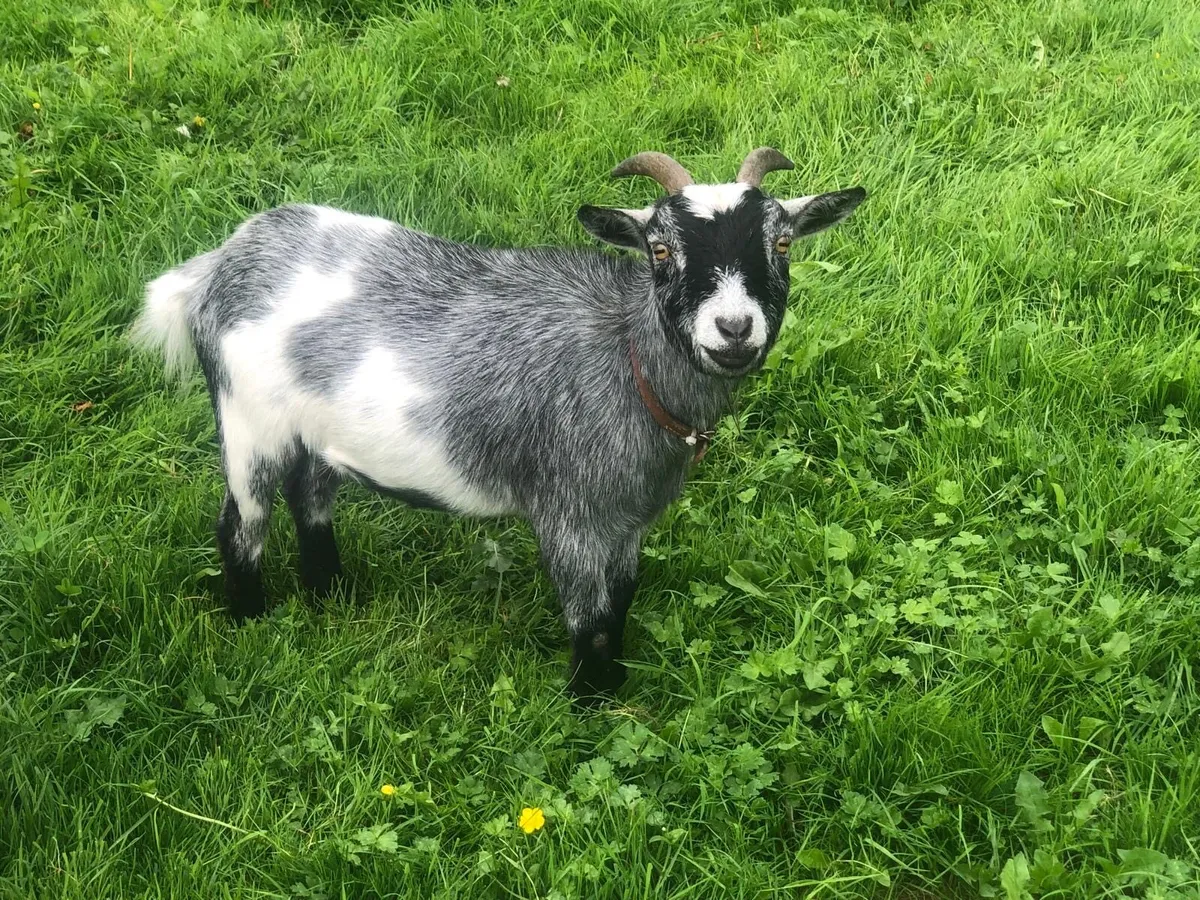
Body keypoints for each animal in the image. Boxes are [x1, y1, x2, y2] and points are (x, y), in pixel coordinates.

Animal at [132, 148, 866, 702]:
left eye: (782, 242)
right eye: (659, 250)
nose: (734, 329)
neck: (627, 358)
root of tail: (217, 266)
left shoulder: (626, 518)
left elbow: (622, 599)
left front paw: (614, 686)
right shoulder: (570, 515)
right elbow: (591, 617)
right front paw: (589, 705)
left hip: (314, 432)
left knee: (309, 495)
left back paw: (329, 593)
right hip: (247, 421)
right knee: (241, 525)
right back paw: (251, 621)